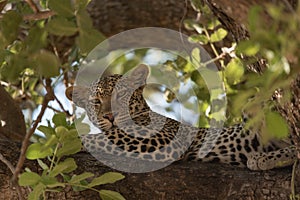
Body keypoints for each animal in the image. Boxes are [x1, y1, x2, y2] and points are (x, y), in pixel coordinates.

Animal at [64, 64, 296, 170]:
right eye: (96, 102)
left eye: (121, 96)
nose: (110, 116)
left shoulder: (163, 138)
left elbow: (105, 137)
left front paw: (68, 140)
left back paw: (263, 159)